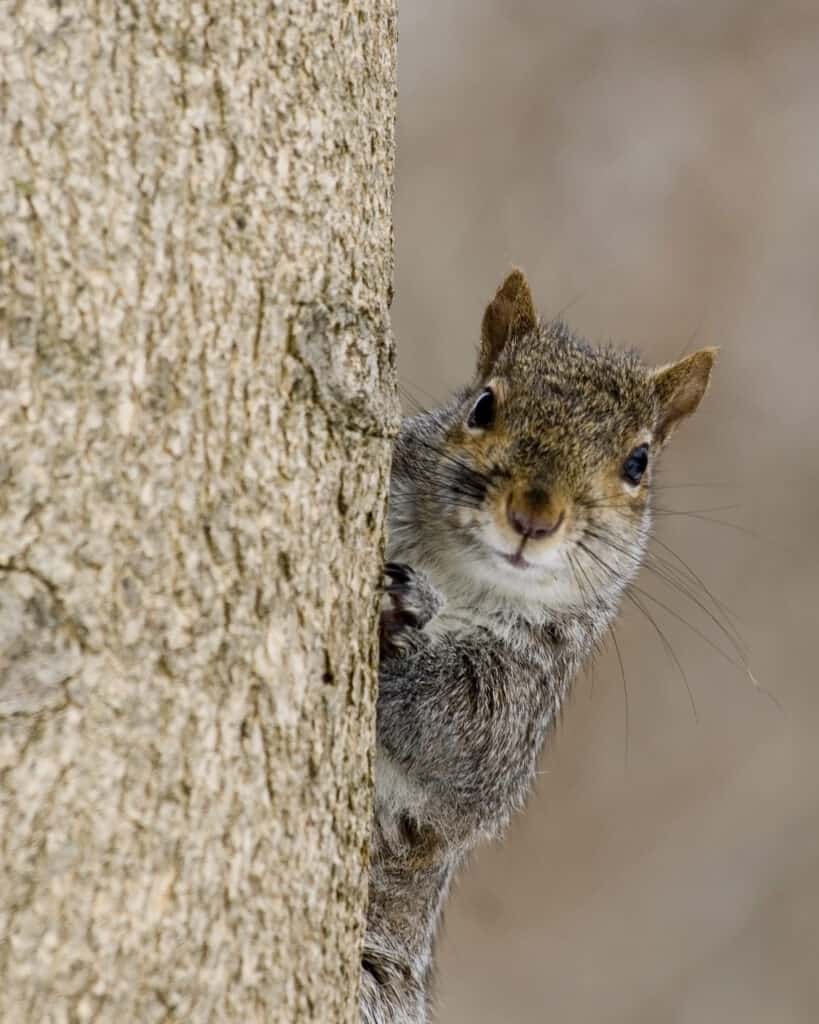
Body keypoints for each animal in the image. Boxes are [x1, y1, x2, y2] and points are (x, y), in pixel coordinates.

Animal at [360, 268, 716, 1019]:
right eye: (483, 405)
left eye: (638, 462)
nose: (534, 515)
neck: (457, 575)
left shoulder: (518, 704)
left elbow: (458, 738)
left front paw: (397, 624)